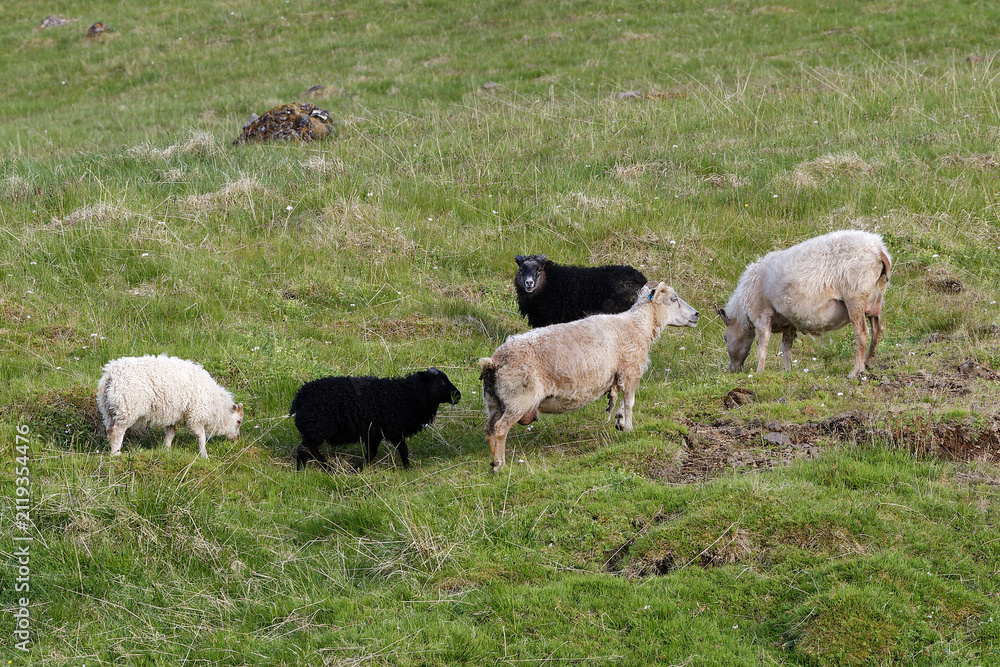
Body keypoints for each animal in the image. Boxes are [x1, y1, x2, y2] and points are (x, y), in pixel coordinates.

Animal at [96, 354, 243, 458]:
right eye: (238, 421)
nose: (237, 439)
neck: (216, 405)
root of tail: (111, 373)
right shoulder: (195, 415)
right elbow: (200, 436)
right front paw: (204, 455)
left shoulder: (171, 414)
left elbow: (171, 433)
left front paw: (166, 450)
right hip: (127, 406)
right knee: (117, 431)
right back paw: (116, 454)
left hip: (110, 409)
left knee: (109, 430)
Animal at [290, 367, 461, 470]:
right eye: (442, 382)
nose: (458, 395)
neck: (408, 393)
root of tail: (299, 397)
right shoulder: (394, 428)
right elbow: (403, 449)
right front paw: (408, 468)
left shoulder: (375, 432)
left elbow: (372, 453)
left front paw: (357, 468)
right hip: (317, 428)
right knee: (304, 449)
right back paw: (302, 471)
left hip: (316, 430)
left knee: (311, 450)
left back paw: (327, 467)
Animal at [479, 281, 699, 472]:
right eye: (674, 299)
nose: (697, 314)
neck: (638, 326)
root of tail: (494, 361)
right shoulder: (630, 370)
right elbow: (630, 402)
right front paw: (629, 429)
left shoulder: (622, 374)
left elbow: (622, 400)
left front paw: (620, 421)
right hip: (519, 399)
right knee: (500, 428)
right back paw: (499, 464)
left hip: (495, 400)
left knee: (489, 428)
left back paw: (493, 459)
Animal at [715, 230, 891, 379]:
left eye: (725, 338)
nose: (733, 369)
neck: (743, 309)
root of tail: (878, 250)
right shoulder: (788, 323)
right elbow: (785, 347)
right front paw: (786, 370)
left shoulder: (761, 313)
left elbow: (762, 346)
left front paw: (759, 372)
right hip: (875, 300)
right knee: (878, 329)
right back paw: (868, 363)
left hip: (855, 296)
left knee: (862, 333)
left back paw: (855, 371)